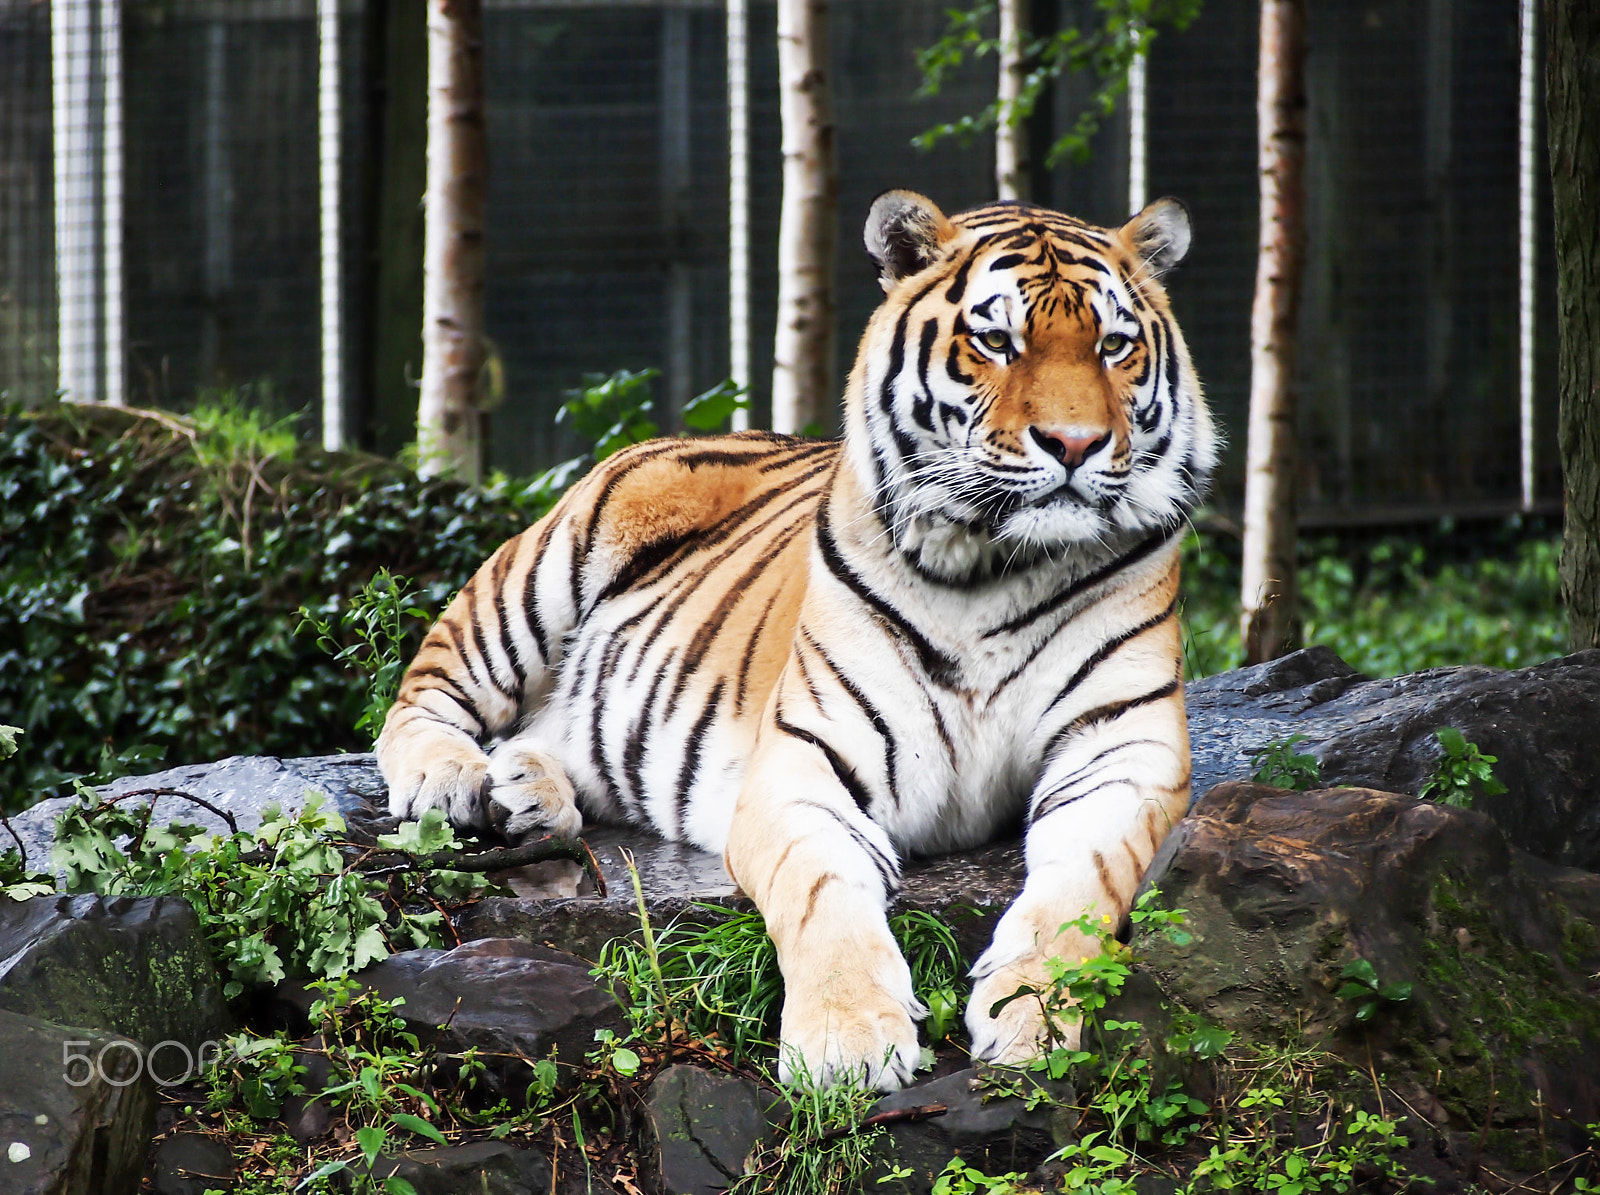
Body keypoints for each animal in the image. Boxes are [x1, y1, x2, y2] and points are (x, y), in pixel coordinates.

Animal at [376, 191, 1215, 1091]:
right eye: (997, 341)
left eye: (1114, 346)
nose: (1075, 444)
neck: (997, 564)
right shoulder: (804, 763)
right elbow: (825, 894)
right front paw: (848, 1046)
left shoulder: (1124, 750)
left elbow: (1079, 892)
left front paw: (1036, 1016)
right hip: (545, 567)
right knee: (421, 692)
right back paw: (452, 779)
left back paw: (527, 792)